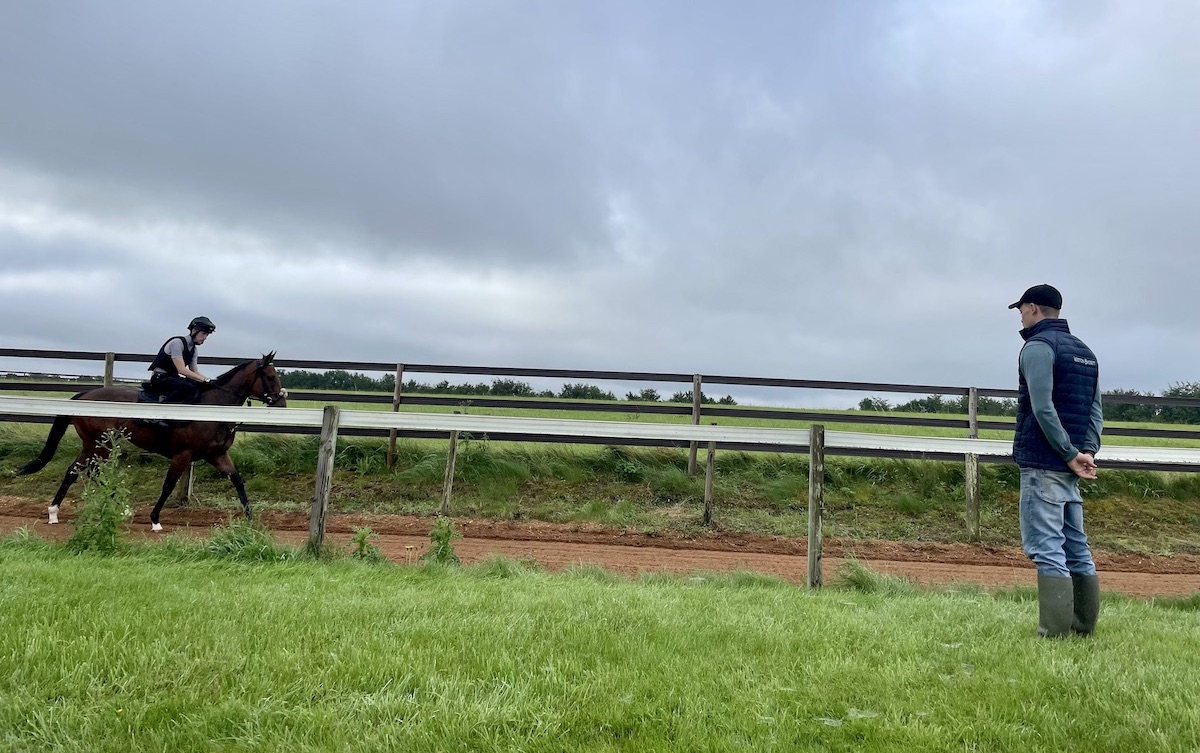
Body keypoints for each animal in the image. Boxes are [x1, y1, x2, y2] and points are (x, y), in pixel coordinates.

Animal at [16, 352, 288, 529]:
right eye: (270, 376)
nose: (282, 403)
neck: (211, 409)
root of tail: (85, 395)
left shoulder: (218, 455)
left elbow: (238, 481)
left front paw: (251, 518)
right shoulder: (183, 455)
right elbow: (168, 485)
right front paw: (155, 519)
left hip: (93, 445)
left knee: (75, 470)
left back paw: (54, 512)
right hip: (101, 445)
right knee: (91, 472)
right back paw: (116, 507)